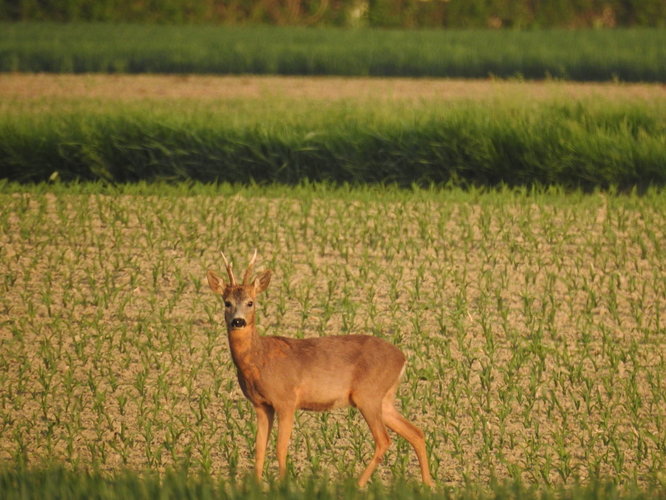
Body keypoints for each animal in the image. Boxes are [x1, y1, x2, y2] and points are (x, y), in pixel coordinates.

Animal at [208, 252, 436, 486]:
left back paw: (358, 485)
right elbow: (259, 449)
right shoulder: (261, 405)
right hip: (384, 399)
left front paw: (283, 484)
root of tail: (402, 358)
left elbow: (280, 448)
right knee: (416, 432)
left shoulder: (286, 400)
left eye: (250, 302)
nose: (238, 321)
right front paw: (256, 485)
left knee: (384, 439)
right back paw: (429, 483)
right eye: (227, 303)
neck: (259, 359)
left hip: (368, 395)